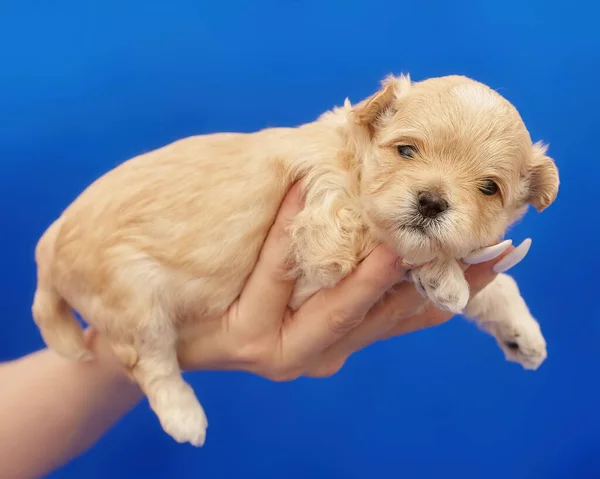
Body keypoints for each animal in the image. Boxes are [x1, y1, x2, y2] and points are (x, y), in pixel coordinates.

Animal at [31, 73, 556, 448]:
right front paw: (446, 276)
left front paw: (521, 331)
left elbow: (495, 281)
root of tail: (47, 247)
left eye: (488, 188)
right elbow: (391, 238)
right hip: (133, 299)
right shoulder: (325, 231)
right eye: (406, 150)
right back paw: (184, 415)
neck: (353, 159)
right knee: (150, 360)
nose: (430, 202)